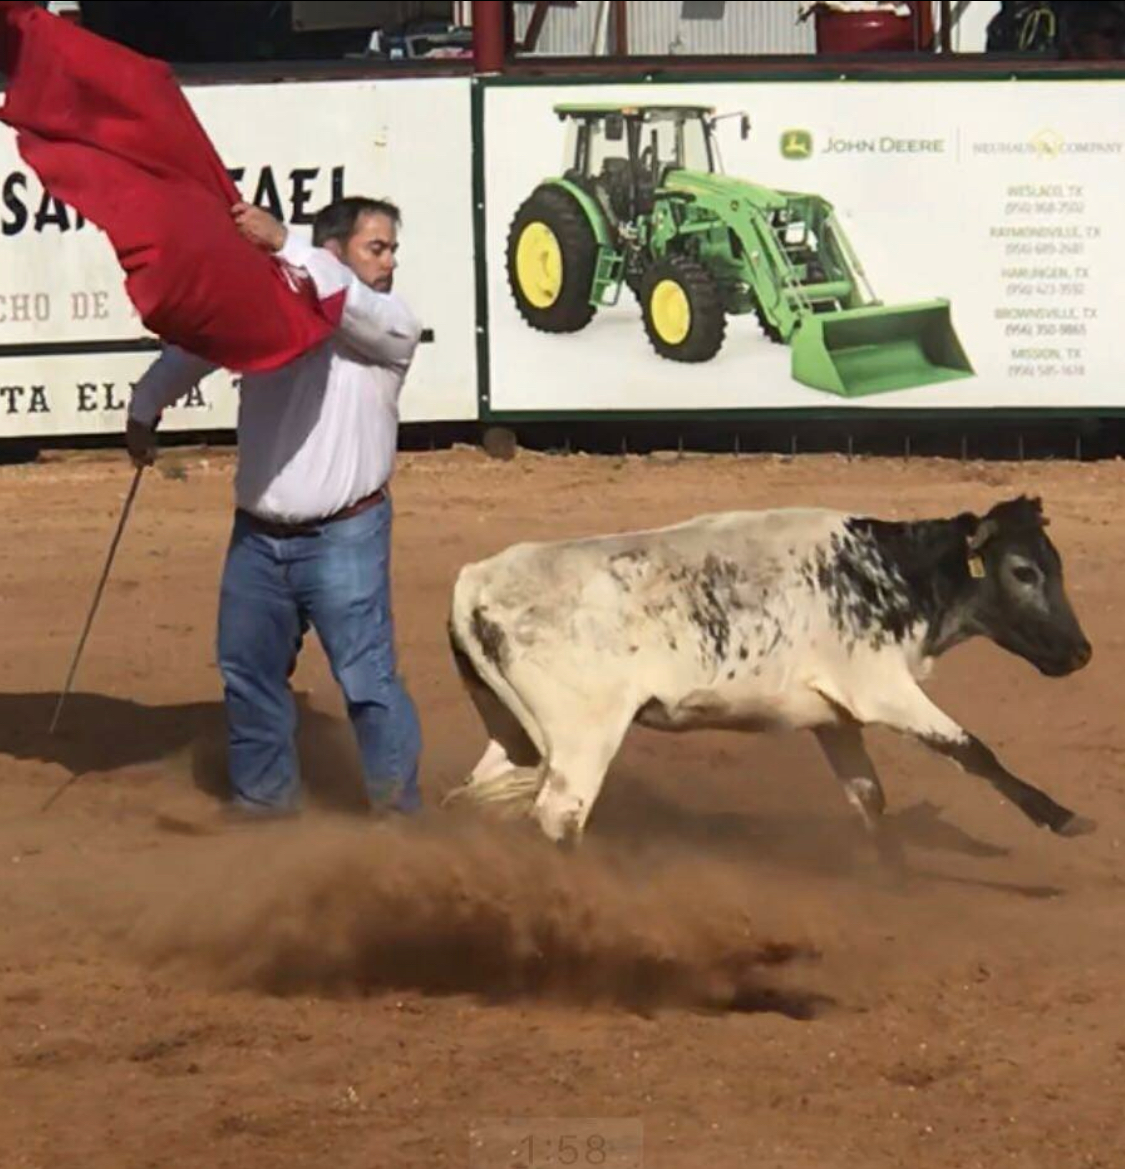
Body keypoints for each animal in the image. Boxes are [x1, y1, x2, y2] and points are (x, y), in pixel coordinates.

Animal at [442, 493, 1089, 851]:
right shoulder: (880, 689)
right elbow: (973, 750)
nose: (1081, 653)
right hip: (583, 736)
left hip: (517, 735)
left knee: (476, 796)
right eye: (1024, 571)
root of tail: (475, 581)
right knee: (559, 818)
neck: (888, 571)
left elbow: (870, 801)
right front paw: (1063, 817)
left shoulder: (836, 720)